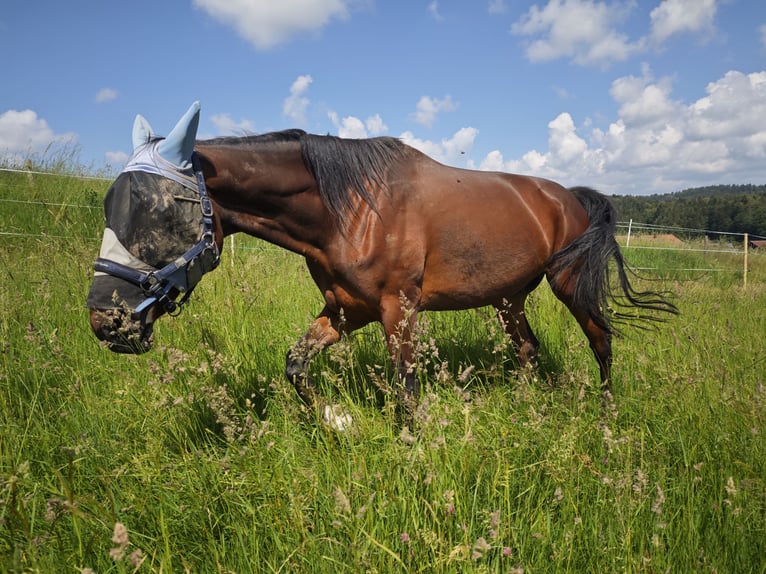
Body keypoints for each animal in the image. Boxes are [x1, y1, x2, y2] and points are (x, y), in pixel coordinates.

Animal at [88, 102, 680, 424]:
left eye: (159, 211)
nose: (104, 320)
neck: (350, 207)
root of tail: (570, 197)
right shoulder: (347, 309)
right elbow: (296, 364)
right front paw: (337, 421)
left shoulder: (399, 309)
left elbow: (406, 390)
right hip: (509, 298)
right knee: (529, 350)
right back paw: (525, 406)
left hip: (571, 286)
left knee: (601, 341)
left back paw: (605, 417)